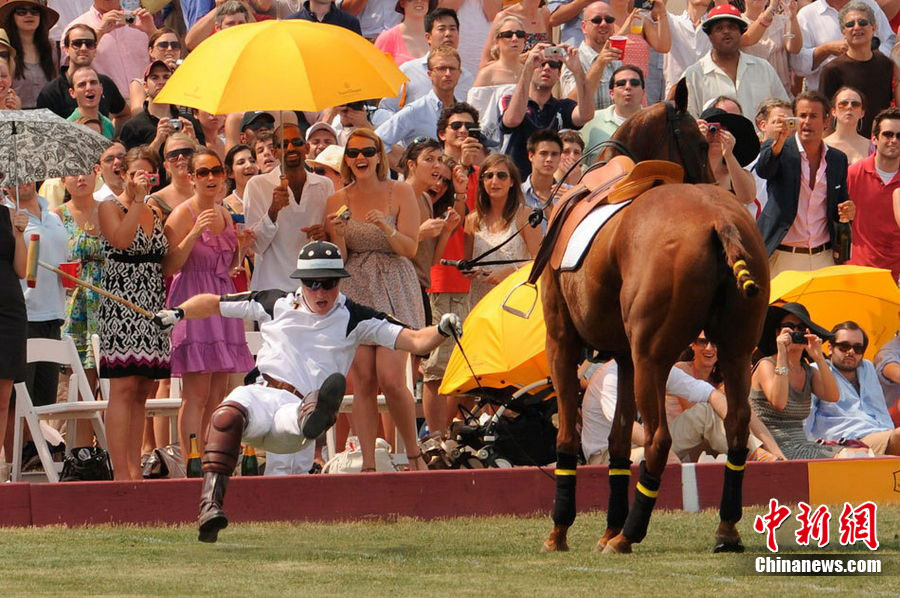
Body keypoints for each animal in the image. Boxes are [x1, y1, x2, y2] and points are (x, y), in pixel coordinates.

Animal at [539, 81, 770, 554]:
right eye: (700, 143)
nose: (720, 181)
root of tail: (720, 220)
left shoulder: (563, 341)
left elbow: (569, 434)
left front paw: (562, 530)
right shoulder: (622, 357)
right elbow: (617, 440)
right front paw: (606, 526)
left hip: (652, 356)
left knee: (660, 438)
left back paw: (630, 534)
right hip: (735, 351)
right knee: (737, 425)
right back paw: (725, 530)